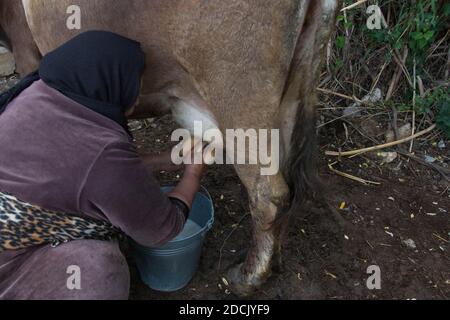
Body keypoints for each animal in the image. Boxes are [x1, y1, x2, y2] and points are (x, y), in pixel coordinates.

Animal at [0, 0, 338, 298]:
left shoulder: (28, 52)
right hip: (292, 94)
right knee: (288, 181)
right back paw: (274, 261)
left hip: (242, 100)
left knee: (269, 194)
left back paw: (247, 278)